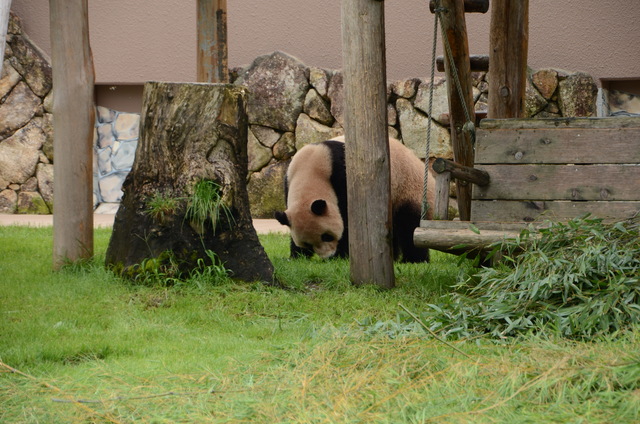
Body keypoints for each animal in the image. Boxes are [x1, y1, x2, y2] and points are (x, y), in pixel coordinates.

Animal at [272, 136, 432, 262]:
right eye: (307, 244)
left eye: (326, 236)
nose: (328, 256)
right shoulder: (287, 183)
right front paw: (296, 256)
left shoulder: (342, 177)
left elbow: (348, 222)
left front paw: (342, 255)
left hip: (408, 189)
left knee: (409, 225)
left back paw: (413, 260)